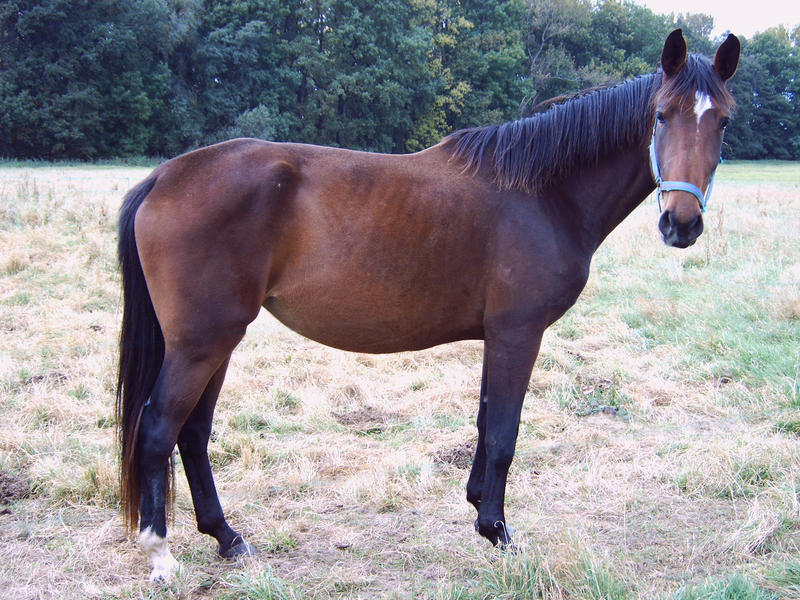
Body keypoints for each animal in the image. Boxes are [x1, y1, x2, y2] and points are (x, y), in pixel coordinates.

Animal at [117, 30, 736, 580]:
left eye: (723, 121)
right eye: (661, 115)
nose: (681, 223)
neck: (544, 194)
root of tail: (165, 176)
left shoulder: (497, 335)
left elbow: (486, 424)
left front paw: (478, 507)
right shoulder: (519, 333)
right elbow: (505, 434)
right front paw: (499, 534)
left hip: (216, 342)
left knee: (193, 433)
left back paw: (228, 538)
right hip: (202, 343)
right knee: (159, 429)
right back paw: (161, 555)